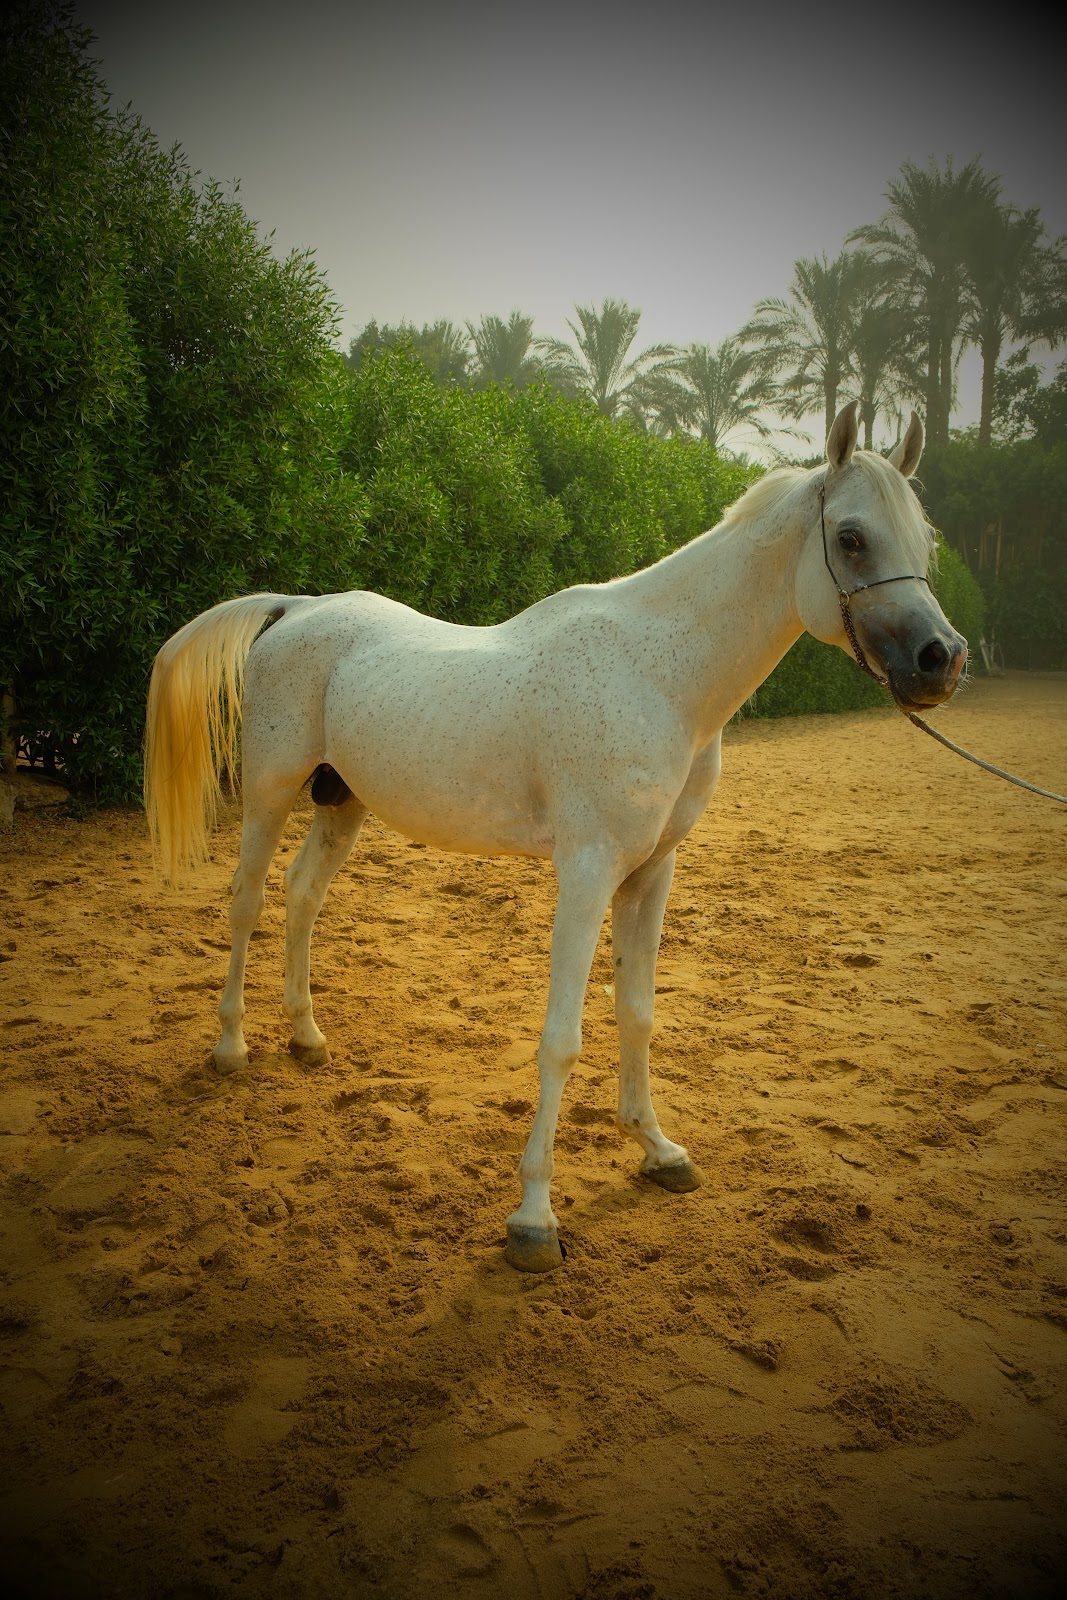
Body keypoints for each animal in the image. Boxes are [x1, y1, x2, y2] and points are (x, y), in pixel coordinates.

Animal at [144, 402, 966, 1273]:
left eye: (923, 539)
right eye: (850, 536)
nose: (939, 661)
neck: (656, 676)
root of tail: (297, 608)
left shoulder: (651, 871)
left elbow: (636, 1012)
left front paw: (658, 1151)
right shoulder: (587, 870)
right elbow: (561, 1039)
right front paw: (534, 1219)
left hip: (343, 804)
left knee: (302, 898)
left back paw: (305, 1036)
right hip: (269, 795)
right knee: (246, 904)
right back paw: (230, 1046)